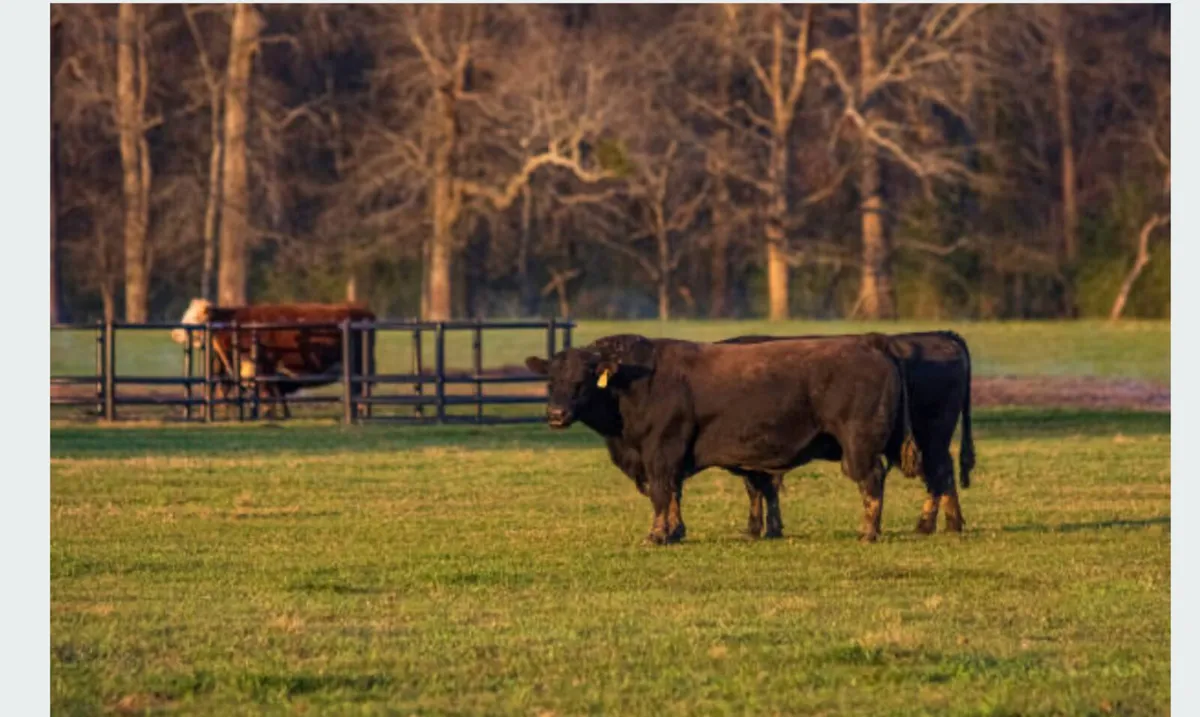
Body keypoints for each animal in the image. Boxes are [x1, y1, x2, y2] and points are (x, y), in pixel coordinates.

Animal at [169, 299, 376, 419]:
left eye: (195, 317)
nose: (175, 333)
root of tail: (364, 311)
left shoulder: (264, 367)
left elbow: (266, 392)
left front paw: (268, 413)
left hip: (359, 366)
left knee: (361, 388)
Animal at [525, 333, 921, 544]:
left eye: (583, 380)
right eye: (551, 380)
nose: (556, 414)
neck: (634, 384)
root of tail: (870, 343)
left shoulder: (660, 452)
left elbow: (661, 494)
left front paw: (657, 535)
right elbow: (674, 495)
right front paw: (675, 531)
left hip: (859, 445)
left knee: (871, 482)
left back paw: (868, 531)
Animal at [720, 331, 974, 536]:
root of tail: (943, 336)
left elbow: (760, 489)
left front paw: (759, 530)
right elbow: (762, 489)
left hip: (929, 440)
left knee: (938, 474)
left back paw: (926, 525)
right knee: (943, 474)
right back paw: (951, 525)